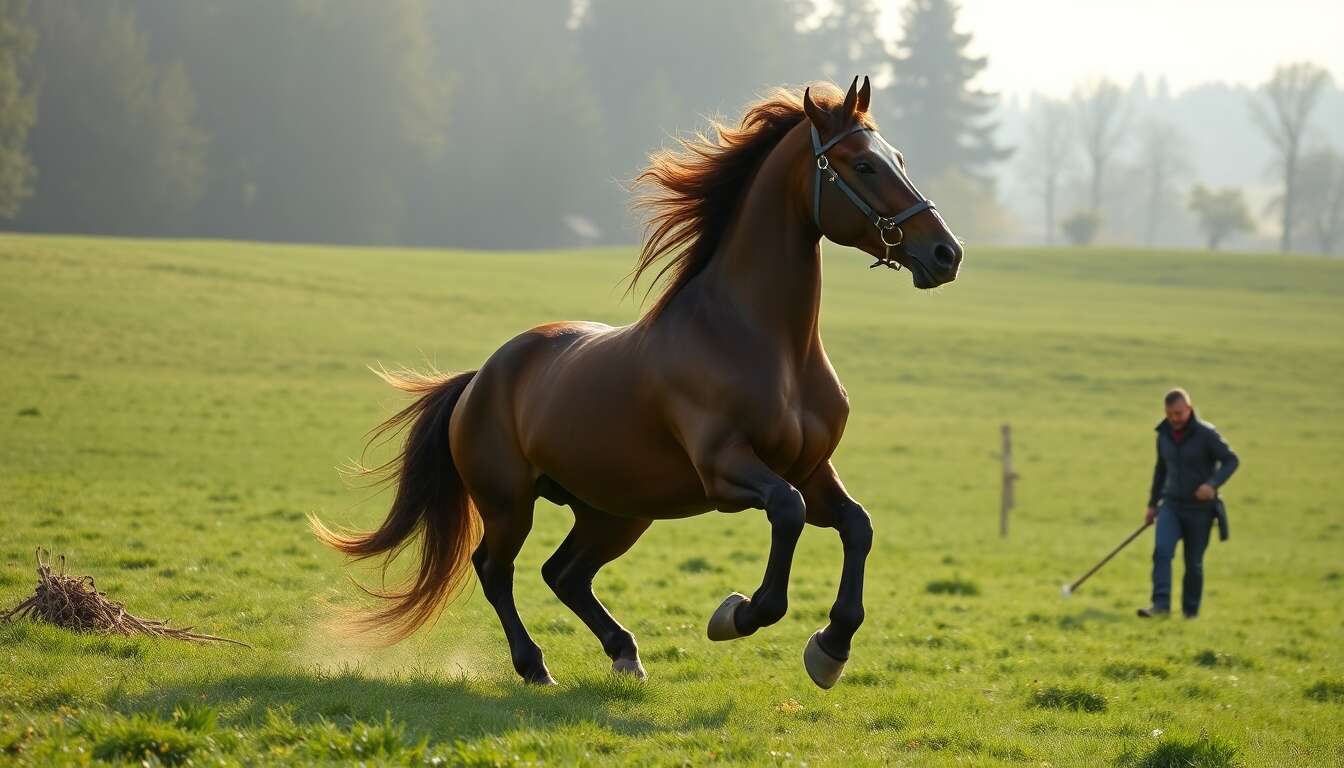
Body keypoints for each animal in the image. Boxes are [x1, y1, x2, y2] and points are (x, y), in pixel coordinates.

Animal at [311, 76, 963, 689]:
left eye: (898, 158)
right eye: (862, 164)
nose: (945, 253)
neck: (768, 346)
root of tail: (480, 379)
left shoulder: (811, 467)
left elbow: (857, 525)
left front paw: (831, 648)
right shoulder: (726, 469)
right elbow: (787, 512)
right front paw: (736, 615)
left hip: (615, 511)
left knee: (565, 574)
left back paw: (624, 652)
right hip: (510, 503)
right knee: (498, 570)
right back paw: (535, 666)